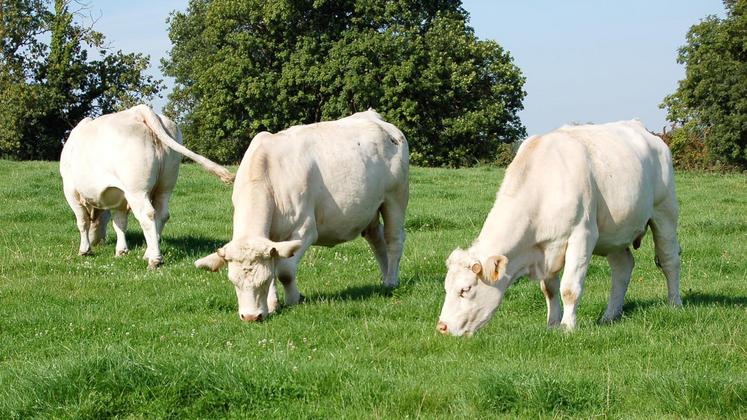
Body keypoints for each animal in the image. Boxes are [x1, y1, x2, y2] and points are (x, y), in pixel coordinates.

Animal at [61, 105, 234, 270]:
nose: (97, 243)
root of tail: (139, 110)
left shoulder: (70, 190)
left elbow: (82, 221)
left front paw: (84, 250)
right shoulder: (120, 197)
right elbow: (119, 223)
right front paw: (121, 251)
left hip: (137, 190)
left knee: (147, 215)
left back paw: (155, 260)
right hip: (166, 185)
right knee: (162, 214)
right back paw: (148, 252)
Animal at [194, 109, 410, 322]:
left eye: (263, 280)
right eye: (233, 281)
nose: (251, 317)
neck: (268, 176)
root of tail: (375, 117)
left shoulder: (305, 231)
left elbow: (284, 272)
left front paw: (293, 299)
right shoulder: (271, 240)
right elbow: (275, 265)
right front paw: (273, 305)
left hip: (395, 197)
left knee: (393, 240)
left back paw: (391, 281)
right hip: (371, 209)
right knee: (377, 240)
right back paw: (384, 276)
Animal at [436, 120, 680, 336]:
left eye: (465, 289)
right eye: (446, 287)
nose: (442, 327)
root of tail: (641, 127)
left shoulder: (582, 236)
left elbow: (569, 289)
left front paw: (567, 327)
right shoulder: (544, 249)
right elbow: (550, 290)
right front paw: (552, 324)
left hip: (665, 212)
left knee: (669, 260)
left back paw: (674, 304)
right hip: (615, 232)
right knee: (623, 267)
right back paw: (610, 315)